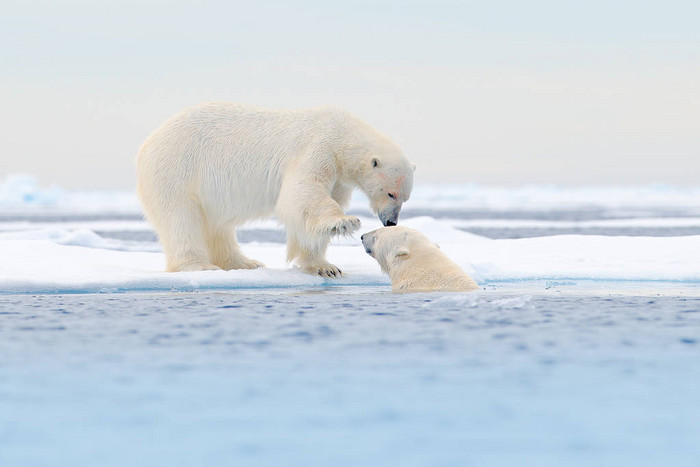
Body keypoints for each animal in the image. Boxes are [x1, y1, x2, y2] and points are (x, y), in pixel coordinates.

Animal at [134, 101, 412, 278]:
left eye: (405, 198)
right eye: (390, 193)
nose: (391, 222)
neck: (341, 135)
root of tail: (148, 143)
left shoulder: (339, 177)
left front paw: (325, 267)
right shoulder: (318, 149)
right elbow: (303, 193)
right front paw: (344, 222)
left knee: (216, 226)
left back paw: (245, 263)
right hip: (177, 171)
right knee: (181, 219)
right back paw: (200, 265)